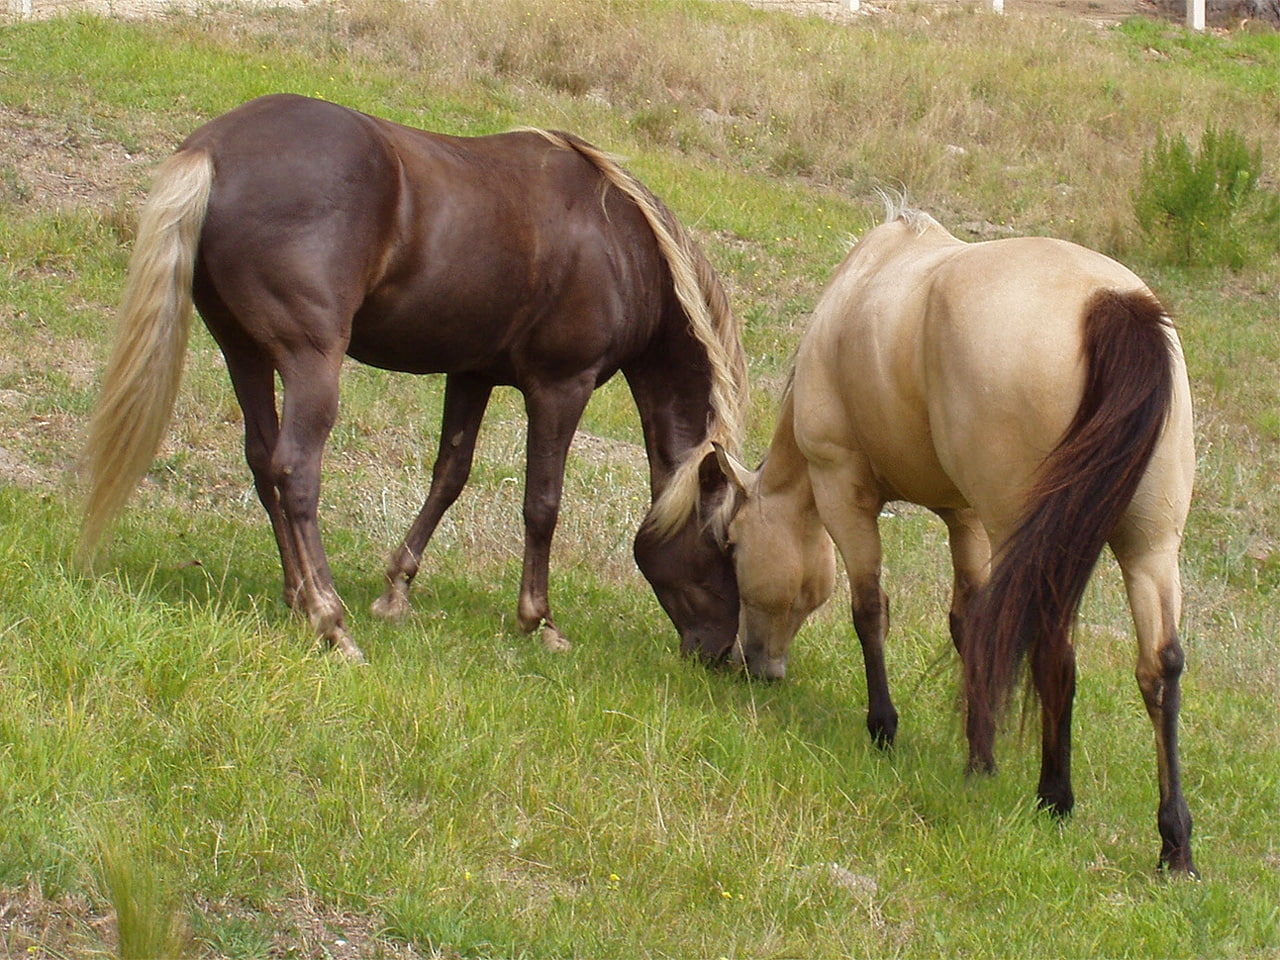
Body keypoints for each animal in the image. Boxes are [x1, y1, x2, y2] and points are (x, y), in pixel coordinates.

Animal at [79, 93, 749, 665]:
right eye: (726, 544)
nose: (720, 653)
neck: (619, 244)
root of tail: (214, 149)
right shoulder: (563, 386)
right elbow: (542, 503)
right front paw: (540, 621)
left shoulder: (472, 373)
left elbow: (450, 475)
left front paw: (396, 590)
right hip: (309, 360)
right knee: (295, 471)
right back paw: (330, 621)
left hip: (242, 352)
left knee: (263, 461)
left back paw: (298, 598)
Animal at [714, 203, 1196, 874]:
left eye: (732, 545)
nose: (755, 664)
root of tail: (1110, 304)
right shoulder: (963, 518)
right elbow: (971, 627)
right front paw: (979, 760)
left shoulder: (841, 489)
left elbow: (870, 610)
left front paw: (885, 728)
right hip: (1150, 548)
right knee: (1159, 667)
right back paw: (1175, 842)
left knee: (1054, 650)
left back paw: (1055, 798)